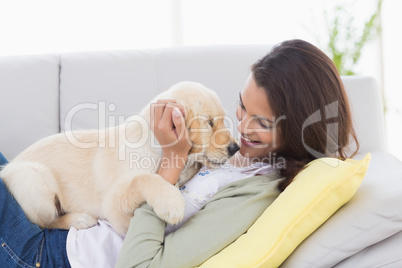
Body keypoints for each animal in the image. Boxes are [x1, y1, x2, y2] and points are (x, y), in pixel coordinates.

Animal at [0, 81, 239, 234]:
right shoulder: (115, 210)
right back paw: (79, 218)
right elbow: (145, 178)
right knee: (42, 222)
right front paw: (170, 202)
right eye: (209, 122)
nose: (235, 148)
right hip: (34, 178)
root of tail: (6, 169)